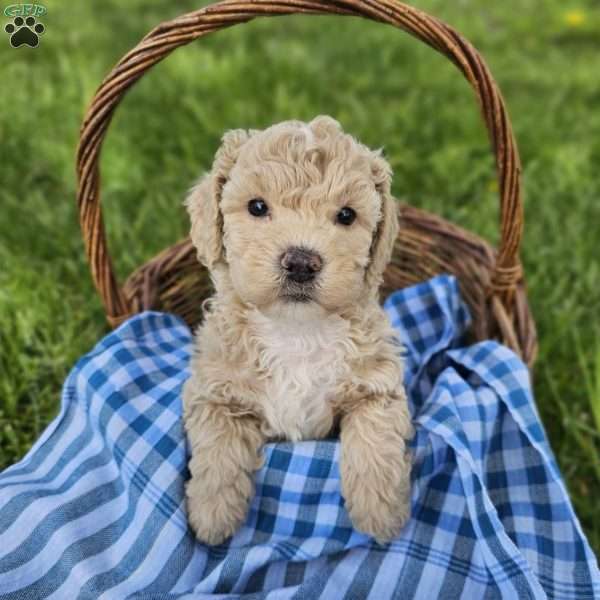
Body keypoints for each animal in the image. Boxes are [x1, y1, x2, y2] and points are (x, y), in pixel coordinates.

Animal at [183, 115, 414, 548]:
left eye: (346, 215)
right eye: (257, 206)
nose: (302, 262)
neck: (296, 330)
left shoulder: (377, 385)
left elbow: (375, 438)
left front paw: (380, 514)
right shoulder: (216, 390)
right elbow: (217, 447)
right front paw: (211, 516)